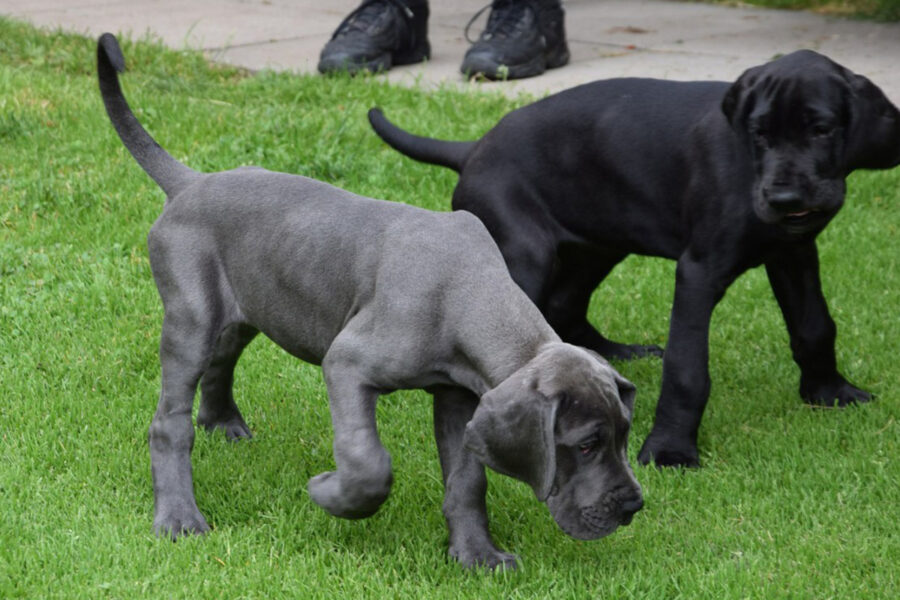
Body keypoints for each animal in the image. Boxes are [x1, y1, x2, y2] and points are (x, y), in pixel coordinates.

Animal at [96, 35, 648, 568]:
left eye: (625, 434)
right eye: (586, 444)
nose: (633, 506)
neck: (468, 294)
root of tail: (191, 183)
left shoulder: (460, 397)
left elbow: (468, 481)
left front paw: (476, 555)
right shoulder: (347, 363)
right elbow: (368, 462)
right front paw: (329, 493)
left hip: (248, 304)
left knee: (222, 358)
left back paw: (222, 423)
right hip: (191, 315)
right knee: (169, 422)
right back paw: (179, 517)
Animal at [370, 51, 900, 466]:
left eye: (822, 130)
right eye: (760, 134)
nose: (785, 197)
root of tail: (474, 148)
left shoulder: (794, 252)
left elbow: (815, 325)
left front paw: (830, 393)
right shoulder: (699, 271)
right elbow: (688, 368)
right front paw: (669, 451)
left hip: (599, 243)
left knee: (564, 305)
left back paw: (611, 355)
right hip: (524, 253)